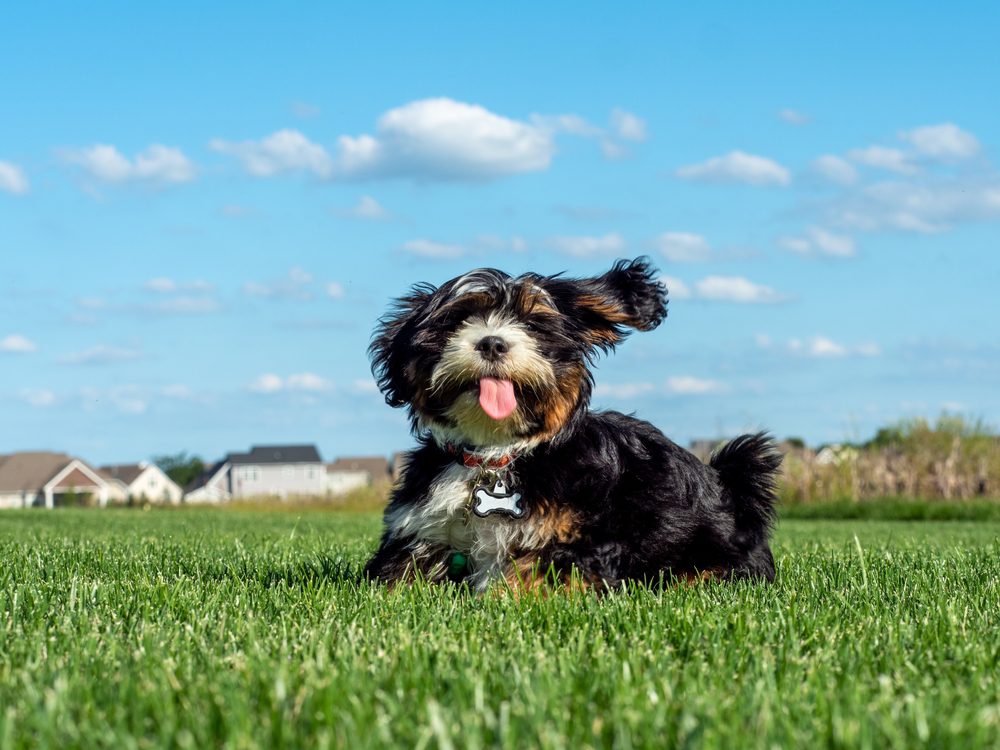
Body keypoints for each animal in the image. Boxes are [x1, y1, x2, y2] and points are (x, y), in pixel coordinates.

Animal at [362, 258, 780, 592]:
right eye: (459, 319)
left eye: (533, 324)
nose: (493, 343)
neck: (494, 454)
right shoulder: (418, 531)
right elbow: (393, 580)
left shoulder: (580, 540)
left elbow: (528, 578)